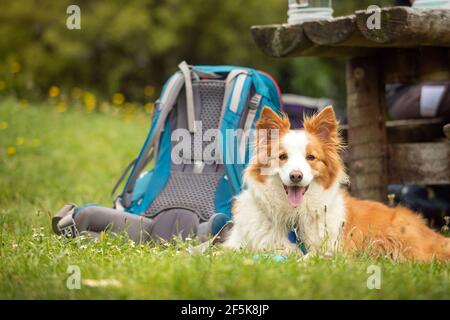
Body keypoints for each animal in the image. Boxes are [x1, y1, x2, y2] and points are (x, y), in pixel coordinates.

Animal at [224, 106, 450, 262]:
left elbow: (309, 257)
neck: (293, 217)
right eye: (282, 157)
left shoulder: (332, 248)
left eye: (311, 157)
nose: (296, 176)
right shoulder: (238, 243)